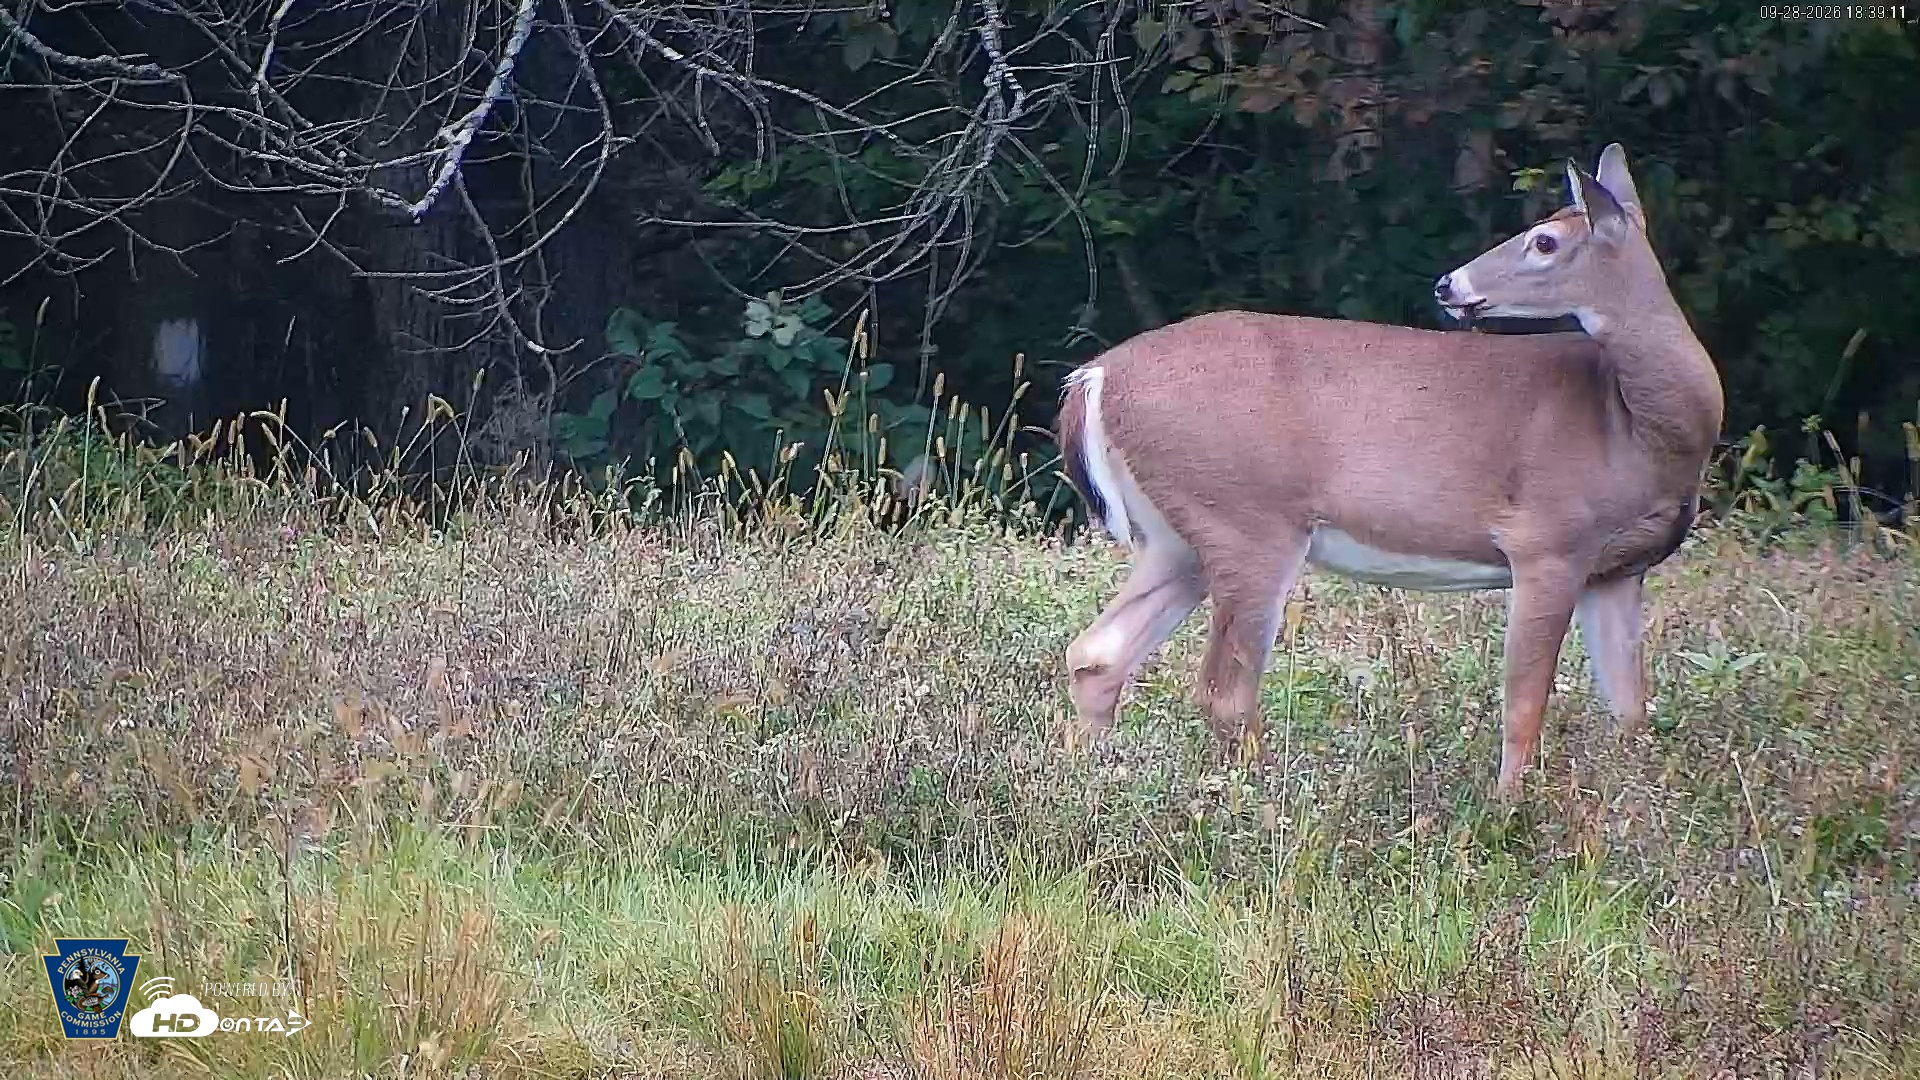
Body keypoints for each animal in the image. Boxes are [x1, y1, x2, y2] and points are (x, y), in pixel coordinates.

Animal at [1053, 143, 1724, 797]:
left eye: (1545, 242)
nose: (1448, 284)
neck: (1637, 428)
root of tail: (1094, 376)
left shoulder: (1617, 570)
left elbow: (1630, 710)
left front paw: (1632, 802)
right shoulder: (1546, 542)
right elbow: (1524, 705)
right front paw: (1509, 812)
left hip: (1177, 536)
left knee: (1098, 653)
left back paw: (1088, 780)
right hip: (1248, 520)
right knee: (1224, 689)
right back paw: (1270, 801)